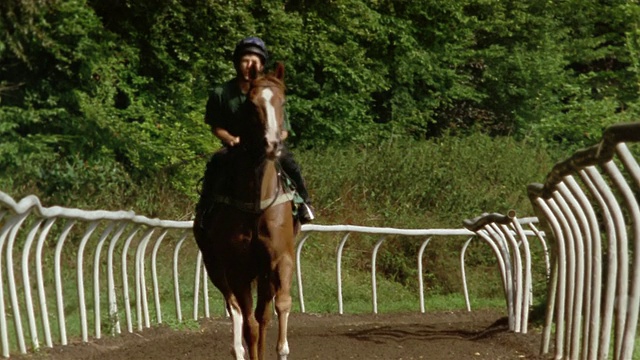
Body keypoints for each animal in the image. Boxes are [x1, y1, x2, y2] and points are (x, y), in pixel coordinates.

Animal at [192, 62, 298, 360]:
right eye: (252, 105)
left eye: (282, 101)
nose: (273, 144)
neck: (256, 204)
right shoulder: (237, 267)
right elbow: (248, 322)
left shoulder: (280, 257)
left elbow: (279, 306)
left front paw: (282, 349)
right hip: (215, 266)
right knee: (236, 309)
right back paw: (238, 349)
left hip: (260, 272)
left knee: (262, 314)